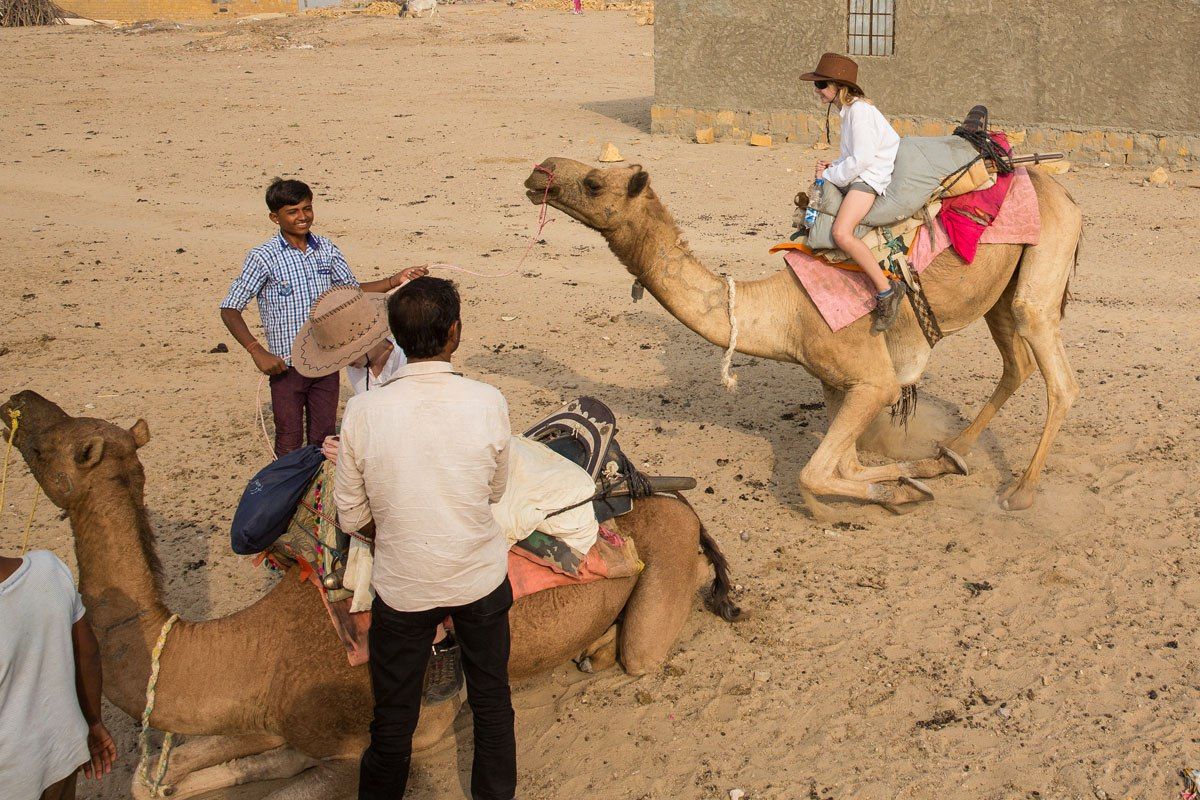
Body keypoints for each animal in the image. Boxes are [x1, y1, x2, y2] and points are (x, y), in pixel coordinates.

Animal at [2, 393, 739, 800]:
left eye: (56, 445)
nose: (21, 399)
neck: (251, 650)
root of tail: (665, 496)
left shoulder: (364, 741)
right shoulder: (282, 720)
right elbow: (159, 776)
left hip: (664, 561)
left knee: (641, 653)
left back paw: (603, 655)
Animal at [520, 159, 1084, 515]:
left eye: (594, 183)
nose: (538, 171)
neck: (784, 313)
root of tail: (1065, 192)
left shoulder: (873, 382)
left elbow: (814, 476)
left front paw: (904, 493)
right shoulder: (836, 384)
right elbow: (849, 466)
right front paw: (918, 472)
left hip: (1044, 261)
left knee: (1059, 376)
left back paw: (1019, 493)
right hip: (1002, 288)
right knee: (1017, 363)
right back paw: (956, 450)